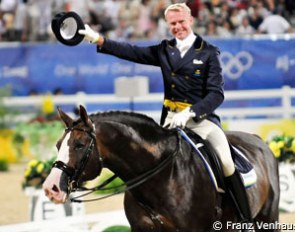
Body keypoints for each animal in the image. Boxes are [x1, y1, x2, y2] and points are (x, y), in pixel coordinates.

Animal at [42, 105, 280, 232]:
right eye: (57, 145)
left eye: (79, 145)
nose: (51, 188)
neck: (162, 176)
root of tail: (258, 140)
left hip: (267, 218)